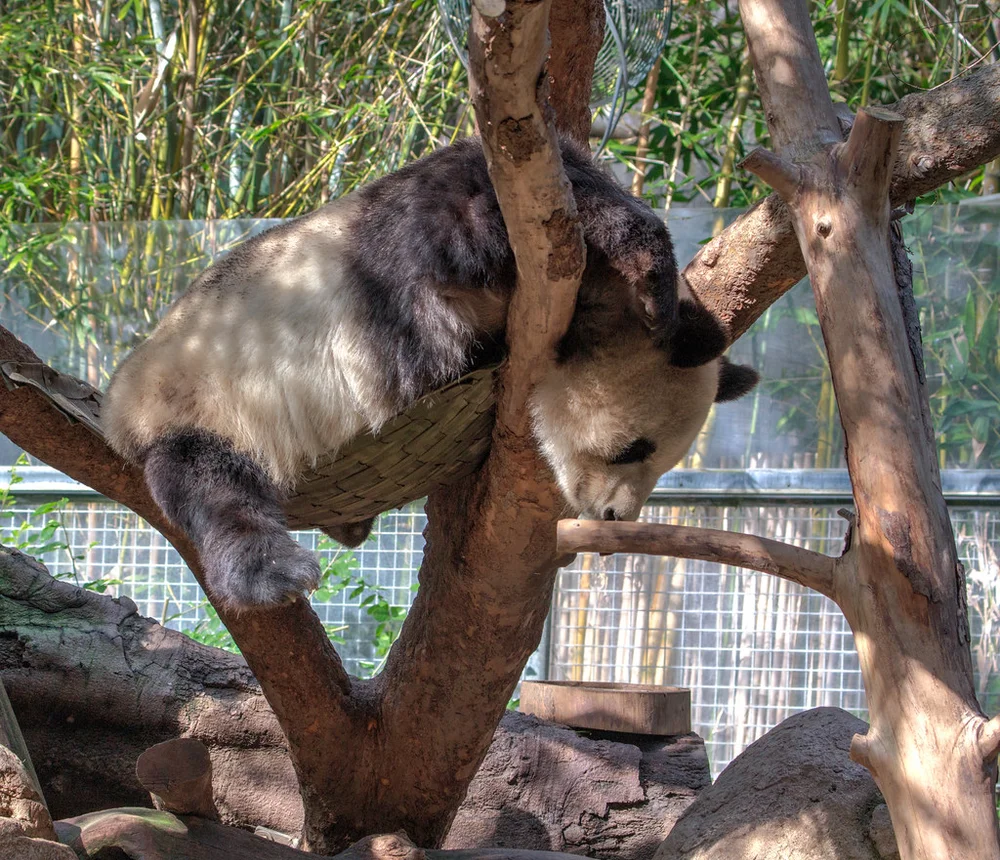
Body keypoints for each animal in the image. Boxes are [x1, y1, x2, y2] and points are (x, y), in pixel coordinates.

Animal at [103, 136, 757, 609]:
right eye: (632, 450)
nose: (614, 518)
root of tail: (118, 405)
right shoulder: (424, 242)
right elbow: (485, 215)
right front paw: (652, 276)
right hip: (203, 400)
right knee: (214, 487)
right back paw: (274, 574)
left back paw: (351, 529)